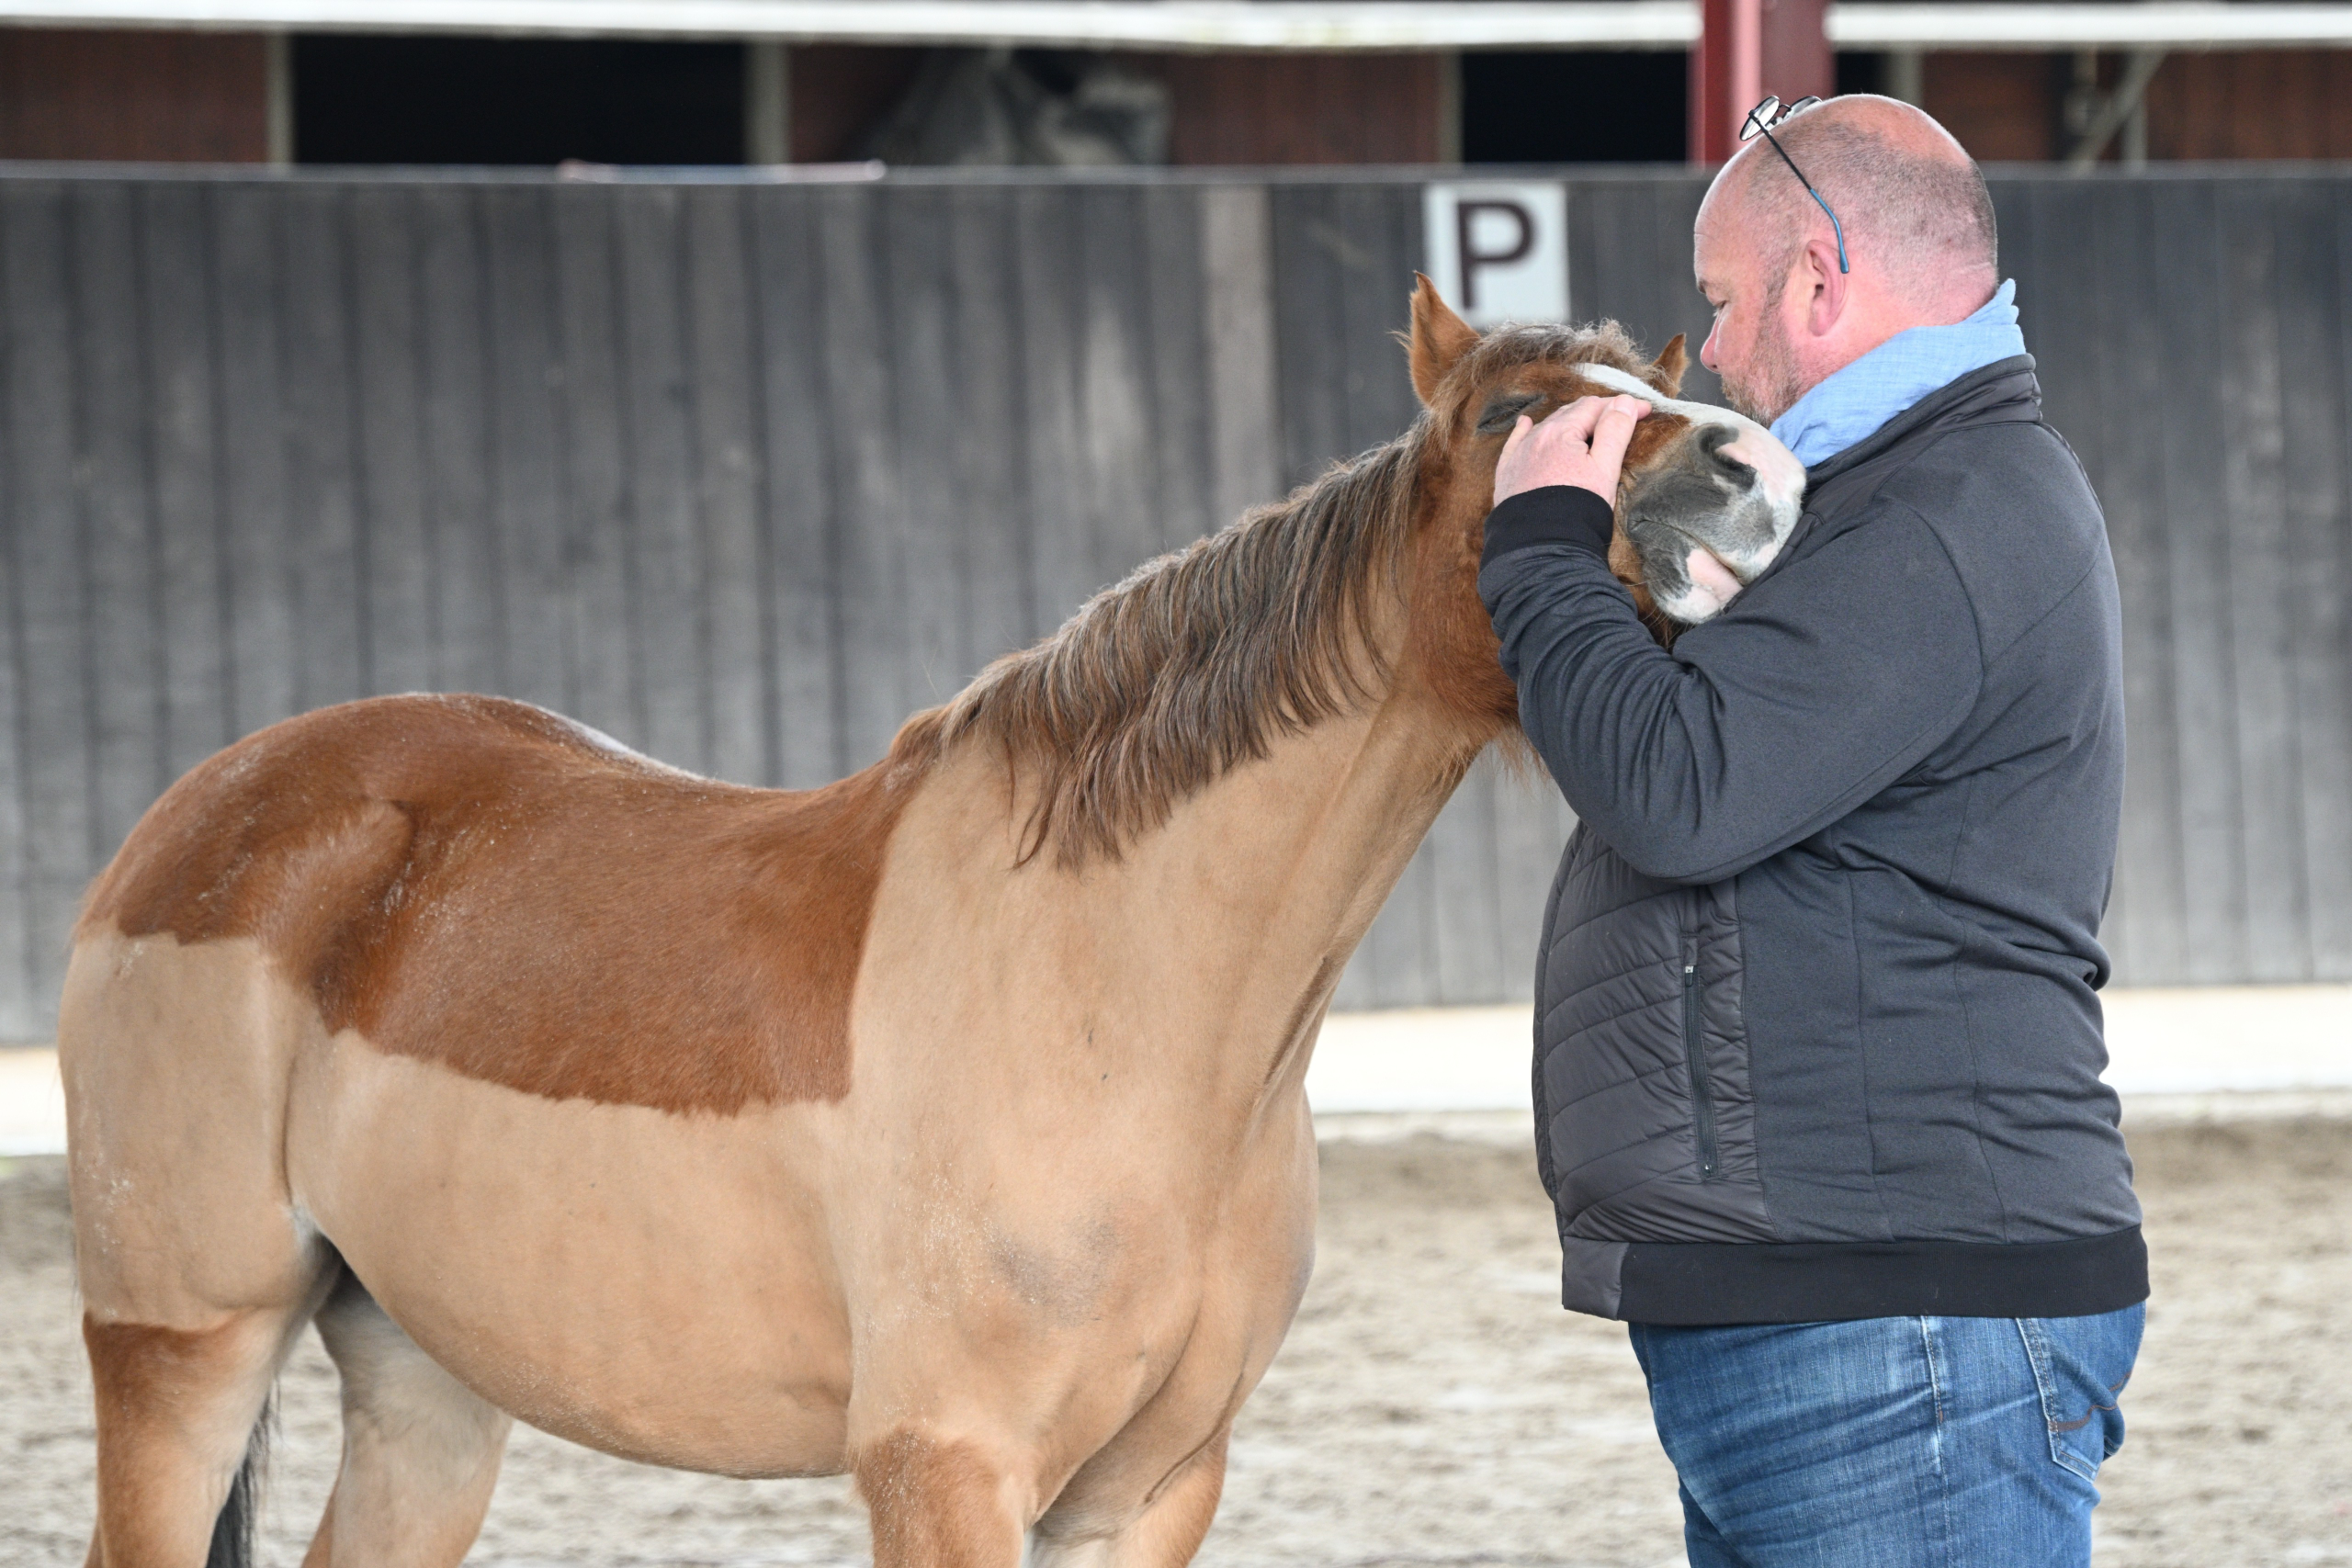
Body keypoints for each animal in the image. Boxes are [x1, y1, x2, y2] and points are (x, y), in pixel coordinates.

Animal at [68, 282, 1796, 1568]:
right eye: (1515, 421)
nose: (1755, 473)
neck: (1121, 1003)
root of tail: (204, 820)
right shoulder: (944, 1464)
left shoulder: (1150, 1487)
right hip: (185, 1346)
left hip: (426, 1379)